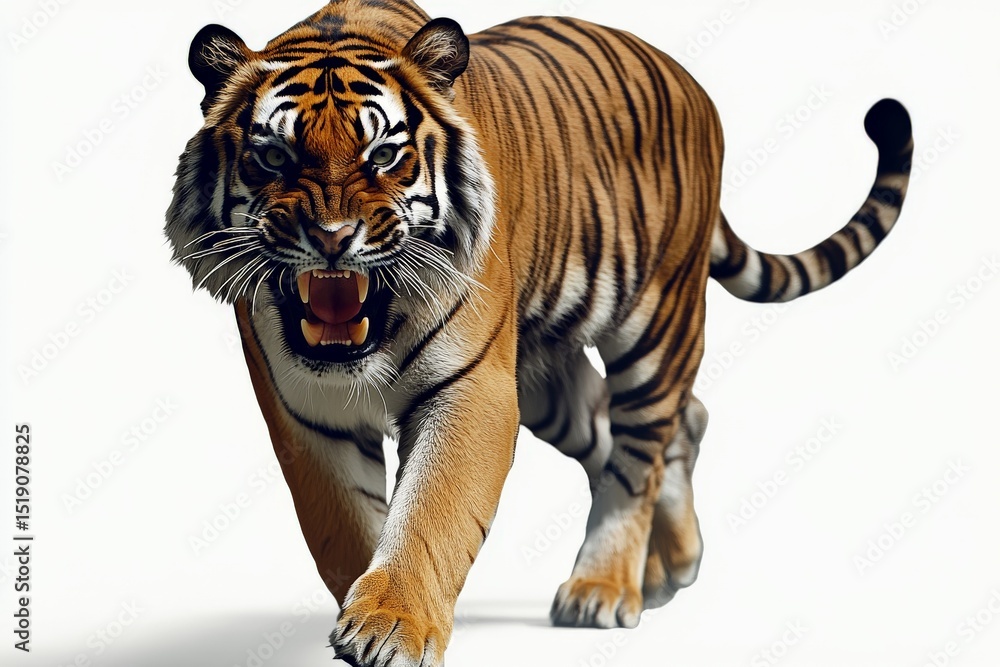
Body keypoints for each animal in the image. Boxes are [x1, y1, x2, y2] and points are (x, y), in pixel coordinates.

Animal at [164, 0, 913, 664]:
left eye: (383, 155)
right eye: (274, 157)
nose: (331, 237)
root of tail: (690, 81)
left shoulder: (472, 390)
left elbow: (431, 512)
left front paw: (392, 625)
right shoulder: (305, 412)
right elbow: (345, 526)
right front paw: (366, 605)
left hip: (657, 322)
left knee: (637, 454)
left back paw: (603, 587)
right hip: (548, 381)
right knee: (668, 421)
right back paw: (672, 564)